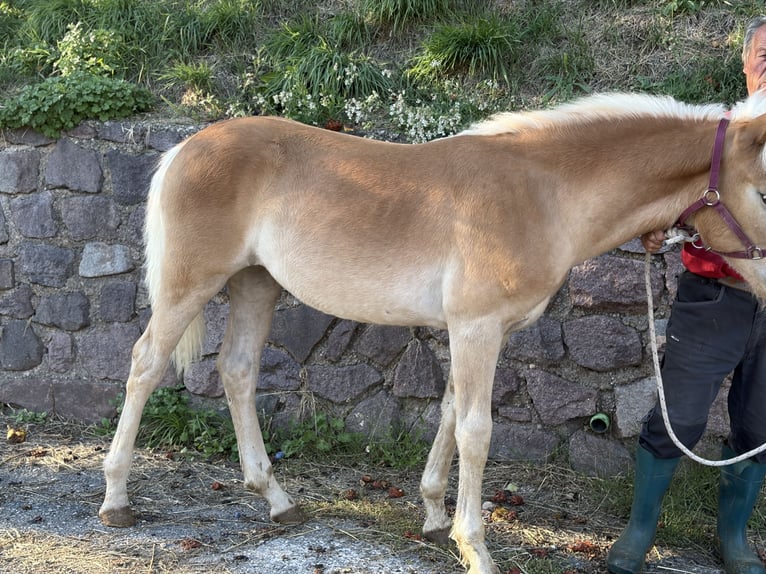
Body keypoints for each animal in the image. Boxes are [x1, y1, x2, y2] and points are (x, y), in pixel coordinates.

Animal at [98, 91, 766, 574]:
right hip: (191, 284)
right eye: (762, 189)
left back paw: (277, 499)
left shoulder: (475, 332)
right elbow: (476, 430)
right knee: (145, 364)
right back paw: (116, 500)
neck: (541, 193)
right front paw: (476, 547)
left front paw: (434, 518)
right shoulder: (477, 328)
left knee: (236, 371)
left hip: (256, 284)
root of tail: (186, 146)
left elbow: (447, 412)